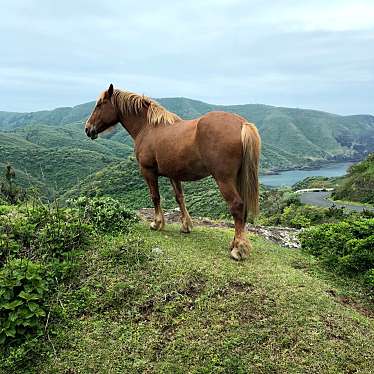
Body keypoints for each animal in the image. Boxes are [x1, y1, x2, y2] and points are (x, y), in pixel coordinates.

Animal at [84, 84, 260, 260]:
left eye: (99, 104)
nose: (87, 129)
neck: (148, 127)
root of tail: (242, 124)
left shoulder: (148, 171)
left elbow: (155, 197)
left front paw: (157, 223)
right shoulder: (173, 174)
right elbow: (179, 198)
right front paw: (186, 226)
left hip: (224, 179)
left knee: (236, 205)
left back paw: (238, 249)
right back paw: (234, 243)